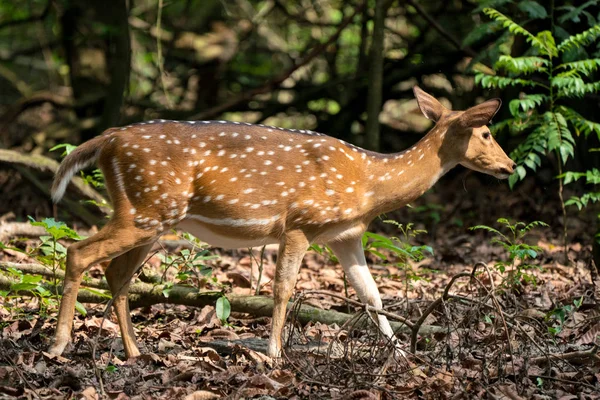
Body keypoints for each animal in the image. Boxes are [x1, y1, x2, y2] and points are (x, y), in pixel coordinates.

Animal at [48, 86, 516, 360]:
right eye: (487, 133)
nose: (510, 166)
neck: (369, 184)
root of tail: (107, 140)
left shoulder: (345, 235)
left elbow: (372, 296)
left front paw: (401, 354)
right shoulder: (301, 222)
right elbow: (283, 289)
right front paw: (274, 353)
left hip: (153, 216)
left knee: (116, 273)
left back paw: (134, 351)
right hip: (147, 209)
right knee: (78, 252)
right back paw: (59, 344)